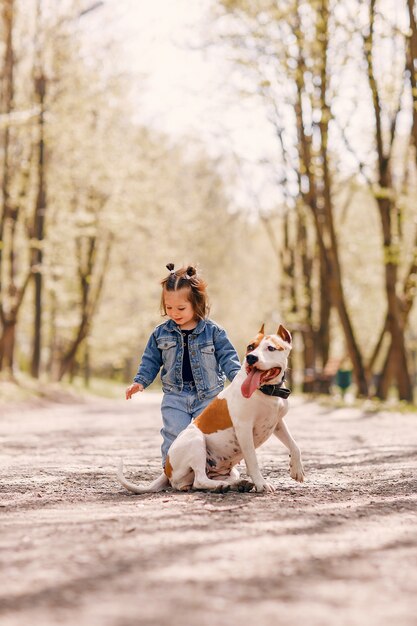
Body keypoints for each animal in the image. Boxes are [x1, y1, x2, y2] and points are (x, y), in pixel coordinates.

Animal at [117, 322, 302, 492]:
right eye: (250, 347)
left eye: (271, 348)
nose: (251, 358)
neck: (266, 391)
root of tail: (167, 469)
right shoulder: (244, 428)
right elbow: (253, 460)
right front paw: (261, 484)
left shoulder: (277, 423)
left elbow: (294, 444)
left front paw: (297, 469)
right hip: (196, 441)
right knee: (199, 480)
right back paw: (222, 486)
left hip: (225, 469)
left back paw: (237, 484)